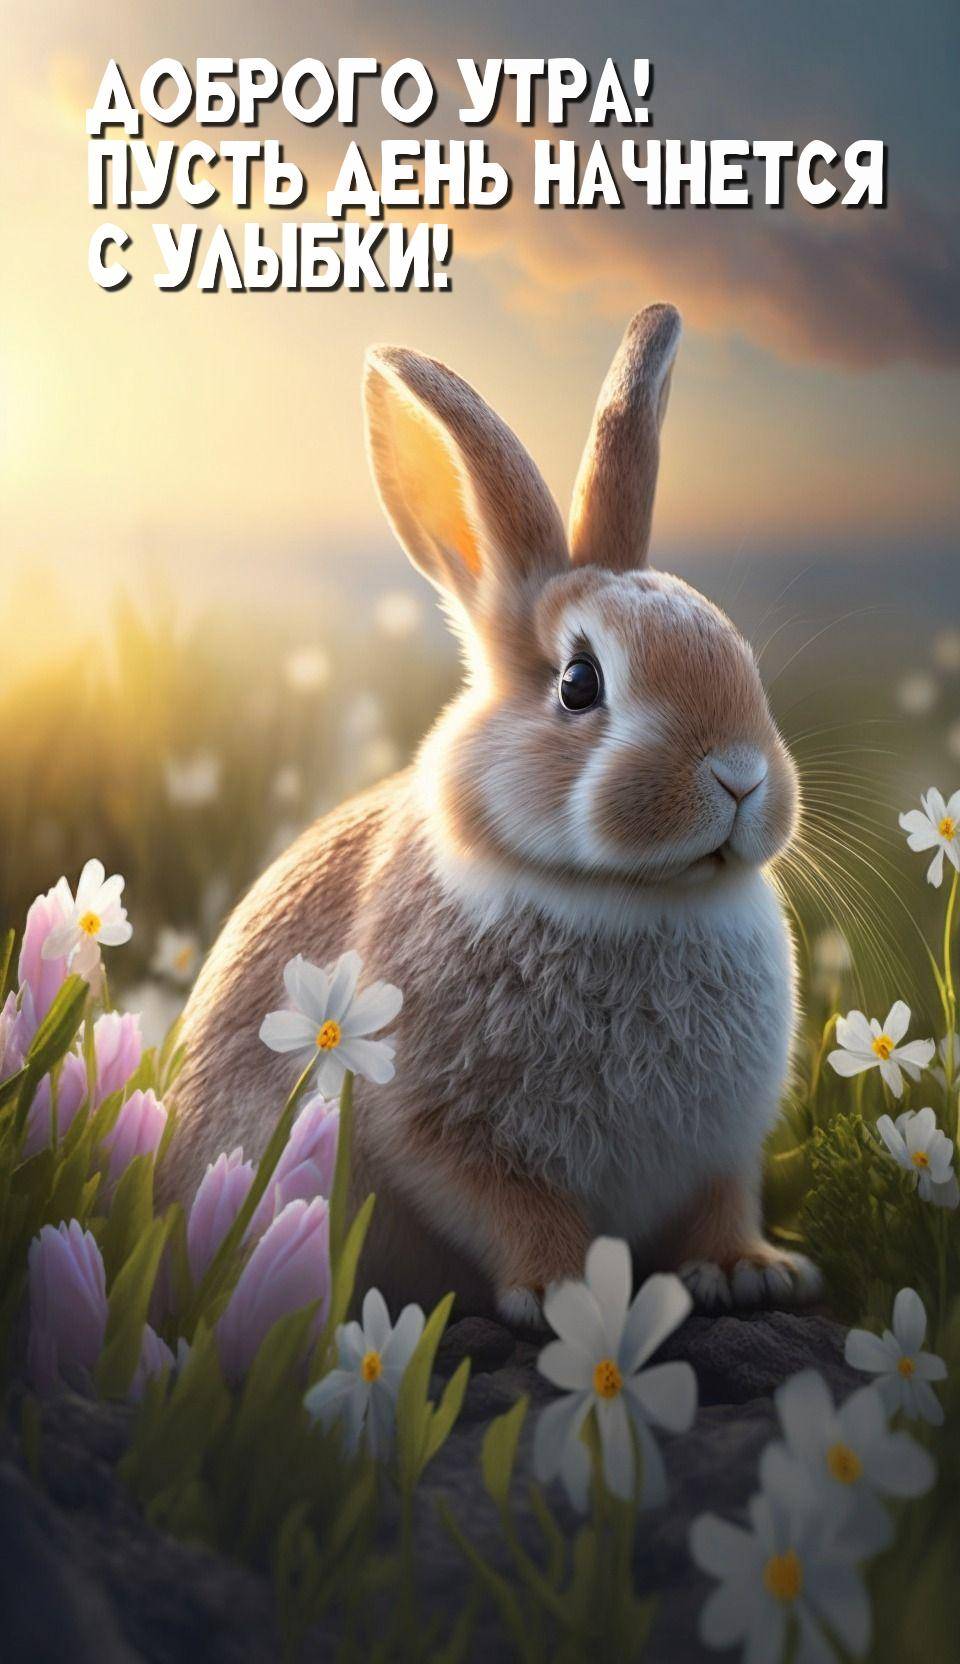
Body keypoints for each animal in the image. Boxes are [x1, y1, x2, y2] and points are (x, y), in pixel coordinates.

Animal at [160, 303, 819, 1320]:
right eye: (580, 684)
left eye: (736, 650)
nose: (742, 778)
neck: (636, 896)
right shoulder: (438, 1129)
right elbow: (511, 1206)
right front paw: (565, 1294)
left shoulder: (722, 1149)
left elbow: (721, 1202)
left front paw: (754, 1271)